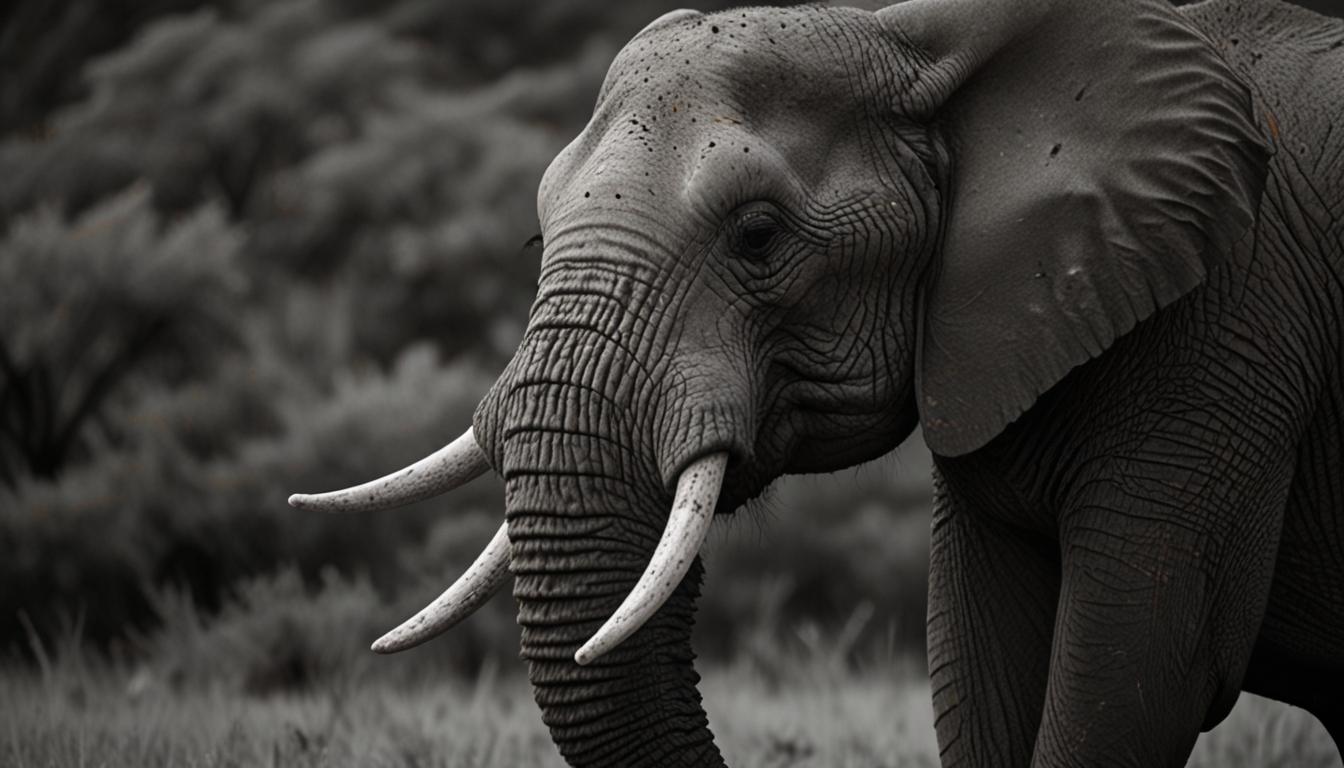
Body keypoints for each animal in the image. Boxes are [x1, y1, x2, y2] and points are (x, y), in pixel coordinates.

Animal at [289, 0, 1344, 765]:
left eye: (758, 235)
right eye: (536, 233)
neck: (917, 38)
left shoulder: (1224, 335)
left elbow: (1139, 677)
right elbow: (982, 665)